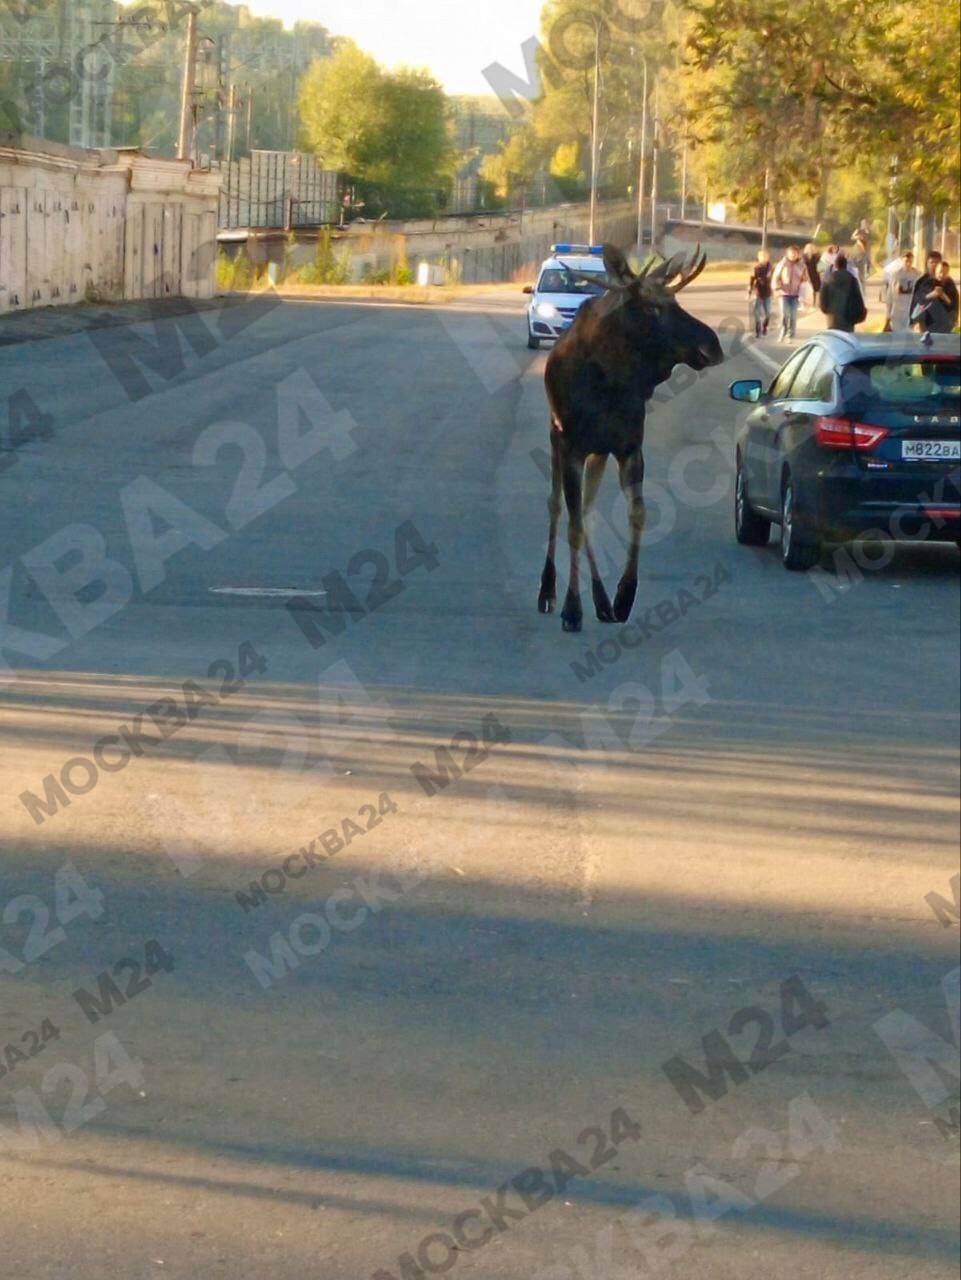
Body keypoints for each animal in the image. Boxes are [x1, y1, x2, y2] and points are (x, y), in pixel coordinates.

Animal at [537, 241, 726, 632]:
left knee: (588, 510)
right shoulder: (572, 445)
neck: (610, 381)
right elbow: (573, 525)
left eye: (677, 301)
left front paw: (624, 597)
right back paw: (548, 592)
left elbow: (637, 514)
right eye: (653, 308)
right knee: (558, 506)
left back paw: (602, 601)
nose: (712, 346)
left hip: (598, 452)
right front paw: (572, 608)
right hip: (556, 438)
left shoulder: (628, 446)